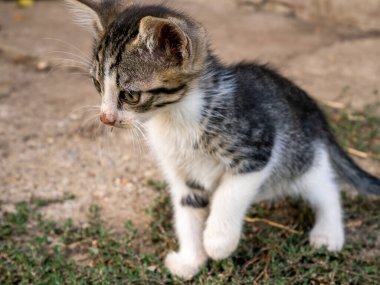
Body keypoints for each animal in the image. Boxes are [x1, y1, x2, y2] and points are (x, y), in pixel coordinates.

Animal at [66, 0, 380, 278]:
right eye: (97, 85)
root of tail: (312, 107)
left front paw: (218, 241)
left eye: (131, 95)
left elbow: (229, 195)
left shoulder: (257, 149)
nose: (105, 118)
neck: (175, 117)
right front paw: (191, 260)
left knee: (325, 185)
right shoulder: (182, 176)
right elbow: (187, 213)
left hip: (299, 154)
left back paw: (328, 233)